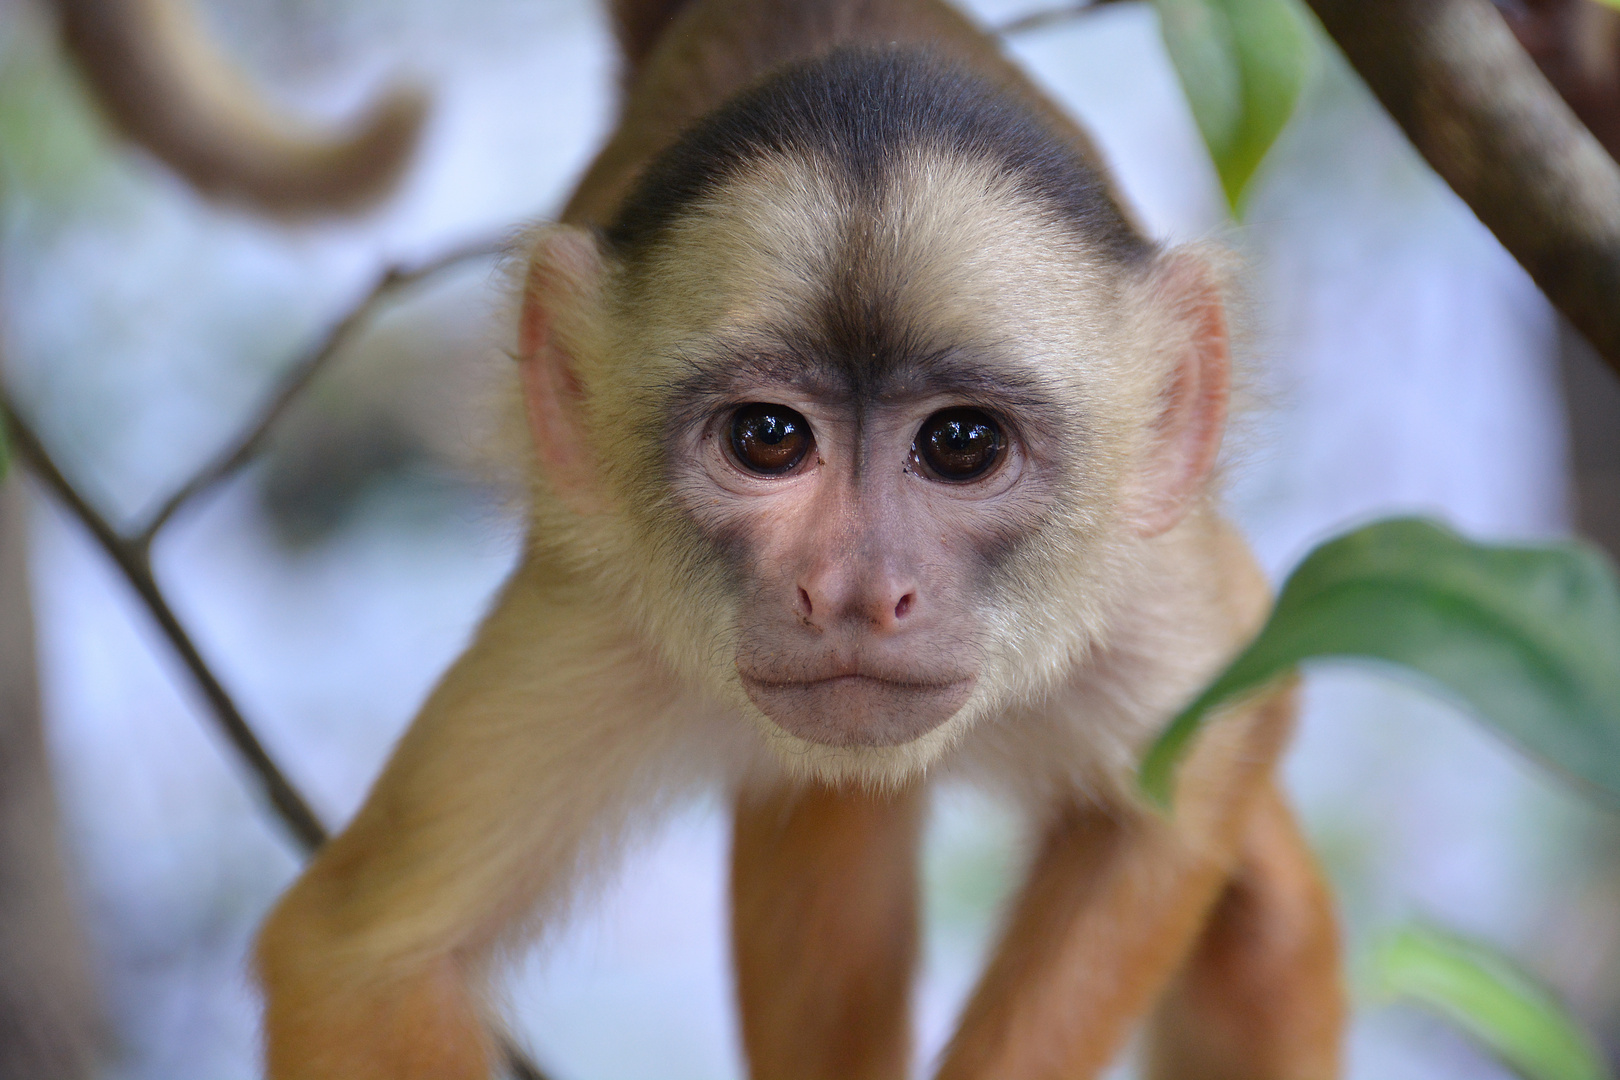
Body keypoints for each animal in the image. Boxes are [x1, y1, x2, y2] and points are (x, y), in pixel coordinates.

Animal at [255, 2, 1341, 1080]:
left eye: (963, 444)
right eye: (768, 437)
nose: (854, 590)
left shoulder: (1143, 584)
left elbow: (1198, 767)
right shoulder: (598, 615)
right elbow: (360, 962)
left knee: (1262, 932)